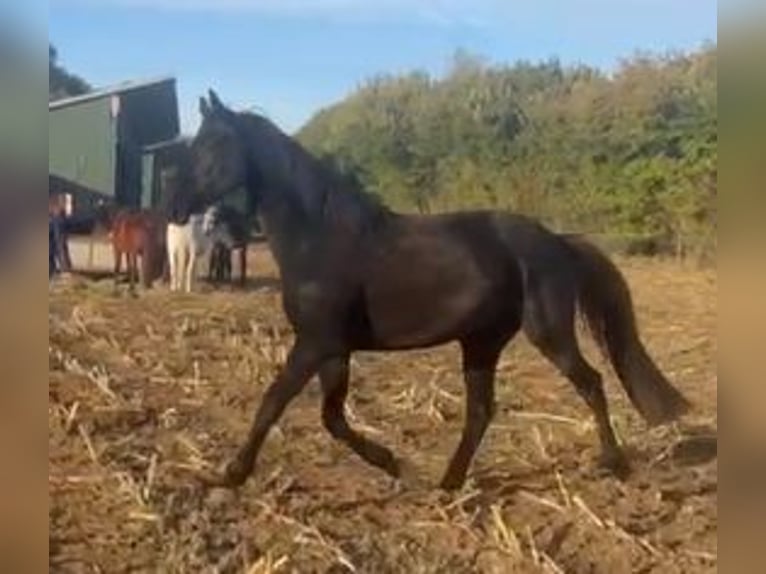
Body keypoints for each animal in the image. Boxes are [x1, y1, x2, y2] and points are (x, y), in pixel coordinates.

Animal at [188, 89, 691, 491]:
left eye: (215, 143)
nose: (180, 201)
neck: (322, 237)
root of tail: (556, 241)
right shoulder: (334, 349)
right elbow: (331, 417)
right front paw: (391, 463)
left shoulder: (314, 343)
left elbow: (274, 402)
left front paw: (232, 473)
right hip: (482, 342)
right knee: (481, 410)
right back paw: (448, 482)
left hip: (548, 333)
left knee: (590, 382)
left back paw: (614, 463)